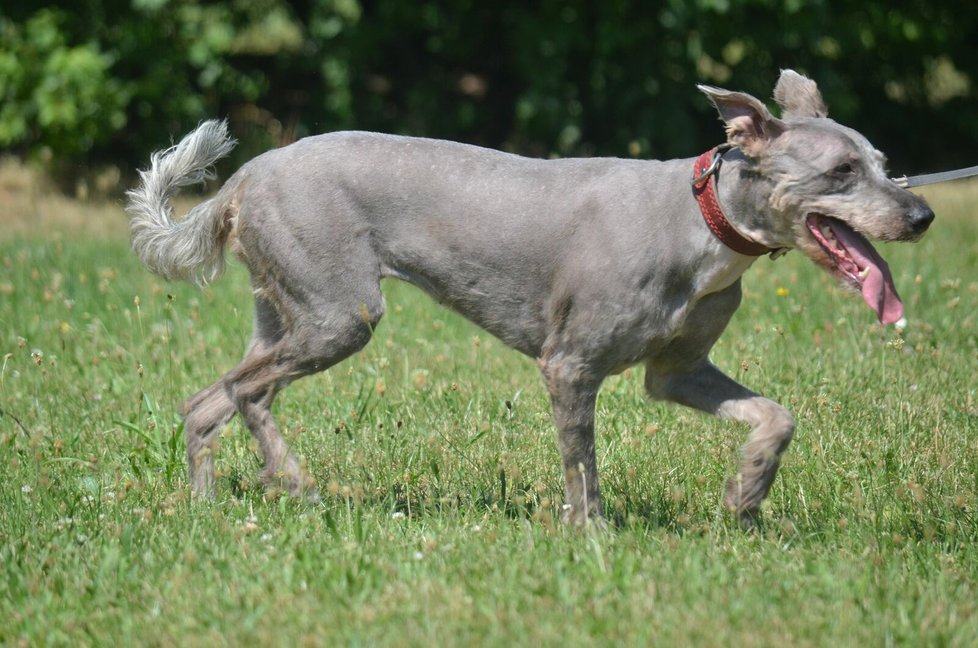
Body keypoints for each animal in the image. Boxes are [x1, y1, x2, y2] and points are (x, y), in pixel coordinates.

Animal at [127, 71, 932, 528]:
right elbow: (583, 468)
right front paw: (591, 537)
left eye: (882, 162)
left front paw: (746, 496)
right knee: (244, 392)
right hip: (338, 317)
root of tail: (244, 178)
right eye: (841, 170)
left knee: (206, 403)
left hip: (286, 313)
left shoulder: (675, 373)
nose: (921, 214)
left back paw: (210, 509)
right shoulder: (569, 365)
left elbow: (776, 417)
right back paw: (288, 480)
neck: (700, 218)